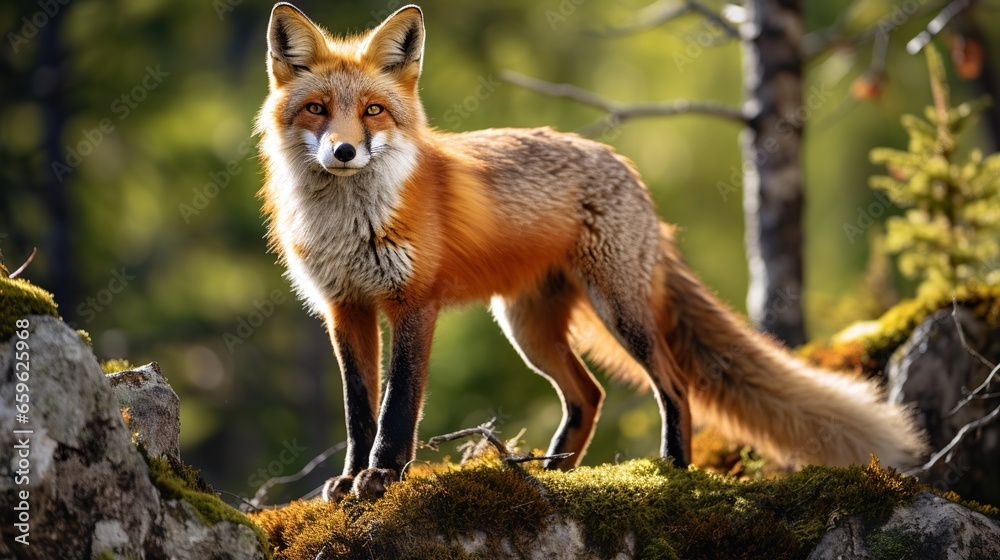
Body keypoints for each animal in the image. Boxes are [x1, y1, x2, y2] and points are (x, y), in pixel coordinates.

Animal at [255, 3, 927, 501]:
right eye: (317, 108)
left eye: (373, 110)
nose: (343, 151)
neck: (350, 223)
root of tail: (629, 172)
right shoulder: (345, 309)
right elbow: (358, 410)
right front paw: (348, 480)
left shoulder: (413, 303)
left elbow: (397, 407)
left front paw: (381, 478)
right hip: (529, 329)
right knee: (589, 395)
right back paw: (554, 474)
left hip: (617, 313)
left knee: (673, 384)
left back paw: (670, 469)